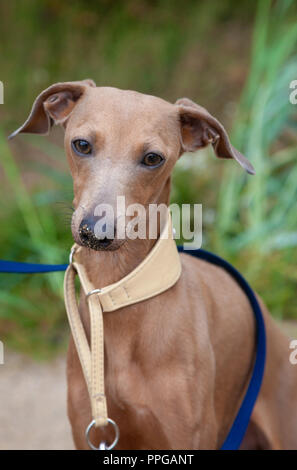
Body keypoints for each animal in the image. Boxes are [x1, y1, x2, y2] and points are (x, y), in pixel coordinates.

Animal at [11, 80, 296, 448]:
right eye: (82, 145)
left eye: (152, 158)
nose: (96, 231)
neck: (120, 294)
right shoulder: (92, 432)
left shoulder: (187, 437)